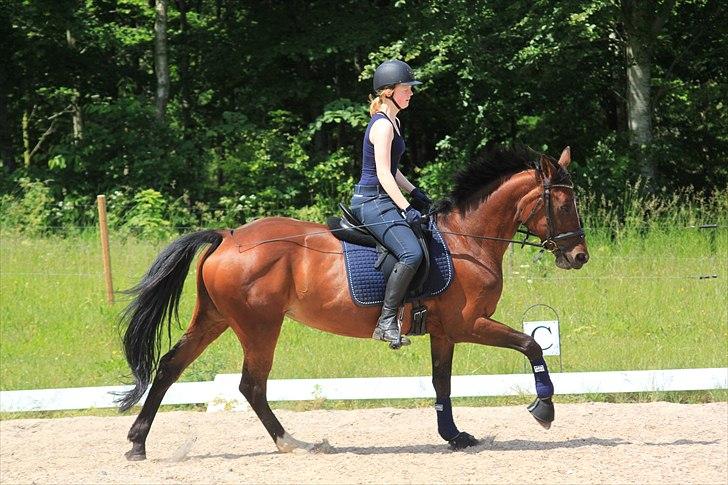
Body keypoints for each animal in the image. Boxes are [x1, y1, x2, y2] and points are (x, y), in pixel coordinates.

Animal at [116, 144, 588, 458]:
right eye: (565, 204)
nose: (579, 257)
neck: (467, 241)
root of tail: (228, 236)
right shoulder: (469, 324)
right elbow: (531, 344)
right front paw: (544, 409)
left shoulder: (444, 333)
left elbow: (442, 383)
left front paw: (454, 436)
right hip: (258, 325)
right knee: (251, 384)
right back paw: (292, 442)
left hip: (215, 318)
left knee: (170, 366)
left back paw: (138, 443)